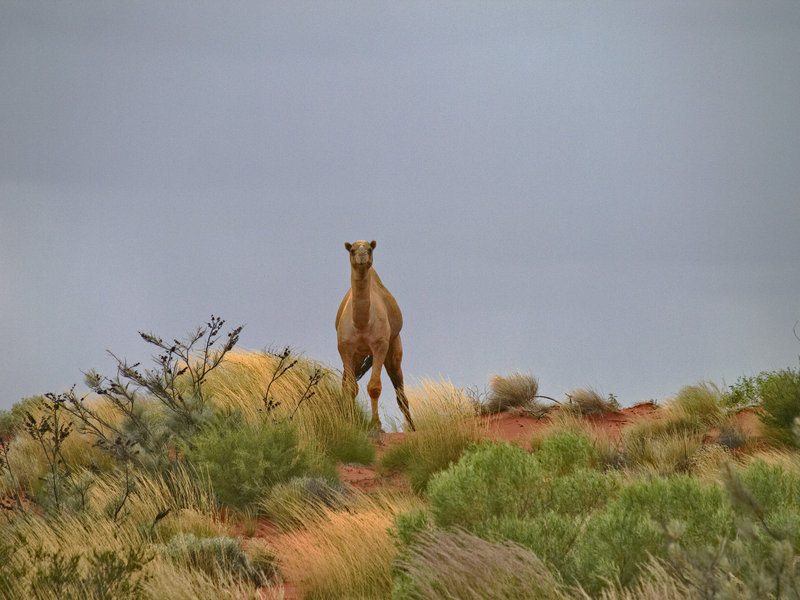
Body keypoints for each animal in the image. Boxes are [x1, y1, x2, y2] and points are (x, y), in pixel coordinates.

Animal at [336, 240, 415, 431]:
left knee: (401, 394)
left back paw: (412, 428)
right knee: (346, 382)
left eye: (370, 249)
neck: (361, 323)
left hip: (393, 348)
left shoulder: (380, 344)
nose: (362, 256)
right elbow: (351, 387)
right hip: (357, 356)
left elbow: (374, 387)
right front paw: (350, 423)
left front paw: (376, 425)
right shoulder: (345, 346)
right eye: (352, 250)